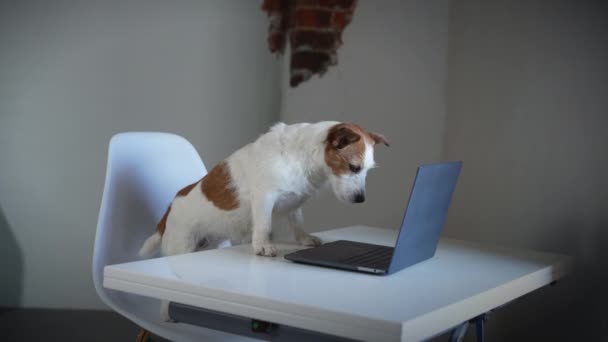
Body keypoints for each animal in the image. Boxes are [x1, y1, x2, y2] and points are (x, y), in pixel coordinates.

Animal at [140, 121, 388, 258]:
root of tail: (170, 207)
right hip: (182, 246)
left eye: (368, 169)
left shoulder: (295, 203)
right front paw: (263, 246)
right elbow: (264, 226)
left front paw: (303, 239)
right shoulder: (264, 199)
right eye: (353, 167)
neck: (301, 156)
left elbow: (298, 224)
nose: (361, 199)